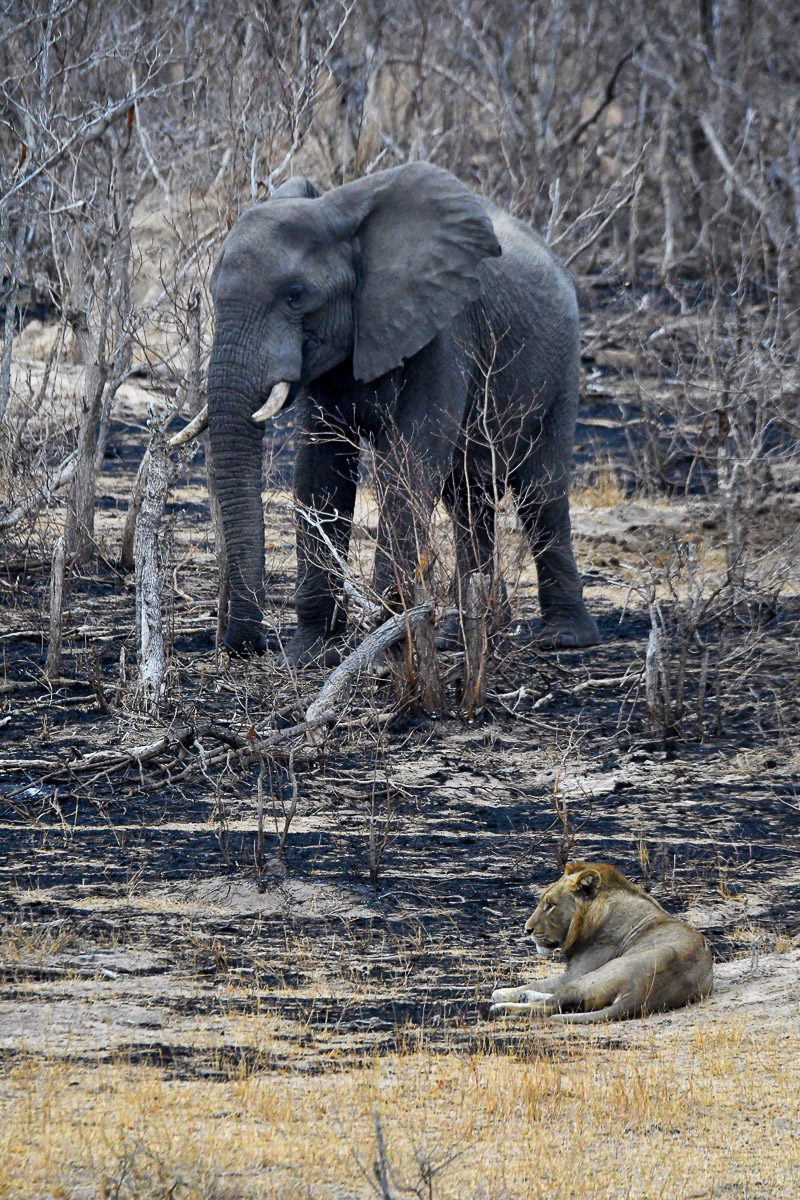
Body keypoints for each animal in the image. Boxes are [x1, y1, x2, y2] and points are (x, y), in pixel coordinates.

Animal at [206, 162, 599, 664]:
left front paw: (382, 647)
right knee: (468, 499)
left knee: (540, 492)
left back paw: (563, 638)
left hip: (562, 365)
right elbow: (320, 470)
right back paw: (468, 636)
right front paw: (312, 655)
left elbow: (408, 462)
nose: (248, 646)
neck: (343, 216)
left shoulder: (447, 330)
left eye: (296, 295)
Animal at [490, 861, 713, 1023]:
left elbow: (540, 982)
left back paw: (502, 1009)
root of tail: (640, 993)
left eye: (551, 905)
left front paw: (503, 993)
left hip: (587, 979)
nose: (527, 929)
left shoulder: (576, 972)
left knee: (551, 1005)